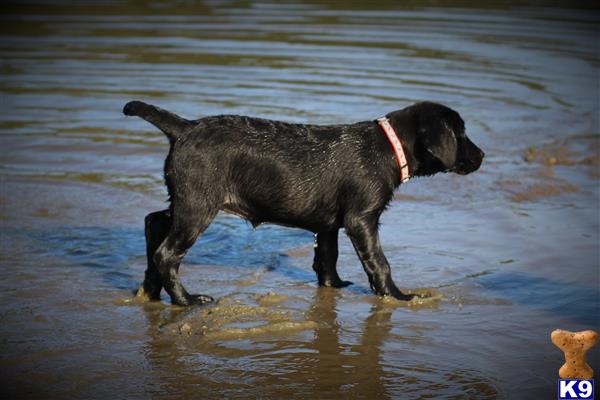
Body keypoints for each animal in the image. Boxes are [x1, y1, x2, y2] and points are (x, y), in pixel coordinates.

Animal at [124, 101, 486, 306]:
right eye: (461, 134)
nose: (483, 155)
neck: (387, 146)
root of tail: (185, 128)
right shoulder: (362, 219)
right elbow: (379, 262)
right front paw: (397, 296)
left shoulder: (328, 225)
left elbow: (327, 257)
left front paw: (333, 286)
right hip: (198, 206)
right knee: (167, 253)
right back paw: (186, 300)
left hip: (186, 200)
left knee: (154, 224)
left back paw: (150, 290)